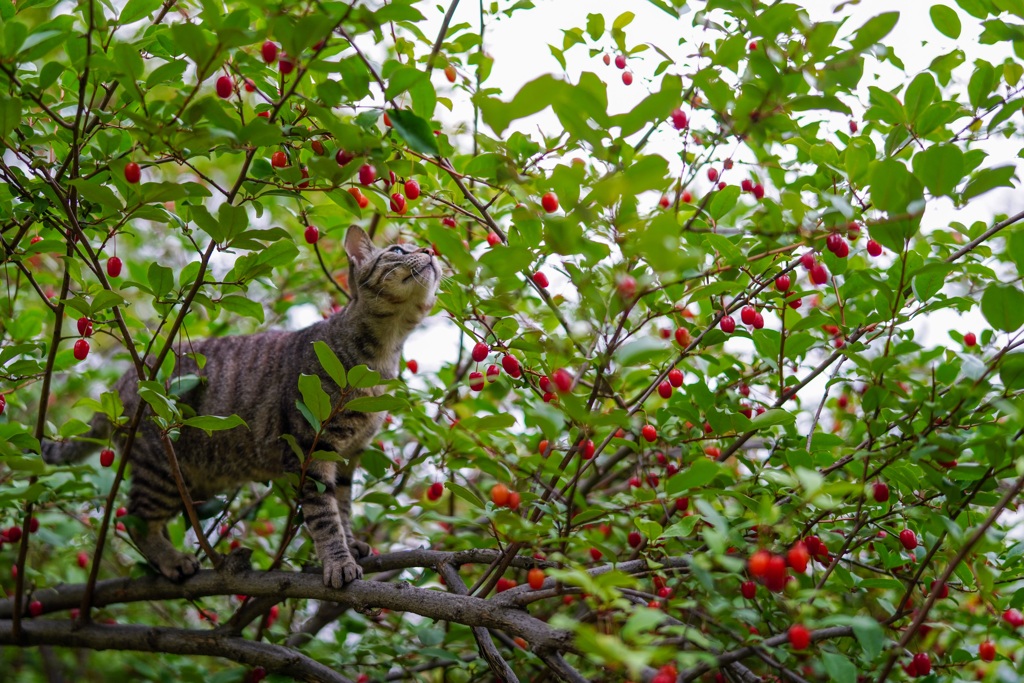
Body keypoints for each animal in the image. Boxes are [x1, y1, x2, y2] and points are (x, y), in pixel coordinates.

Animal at [44, 225, 440, 589]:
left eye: (421, 246)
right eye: (398, 250)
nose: (430, 250)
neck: (381, 355)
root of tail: (127, 378)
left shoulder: (348, 454)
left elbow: (341, 506)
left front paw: (350, 542)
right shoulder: (312, 447)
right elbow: (324, 517)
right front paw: (337, 561)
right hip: (161, 467)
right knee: (134, 520)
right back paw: (172, 560)